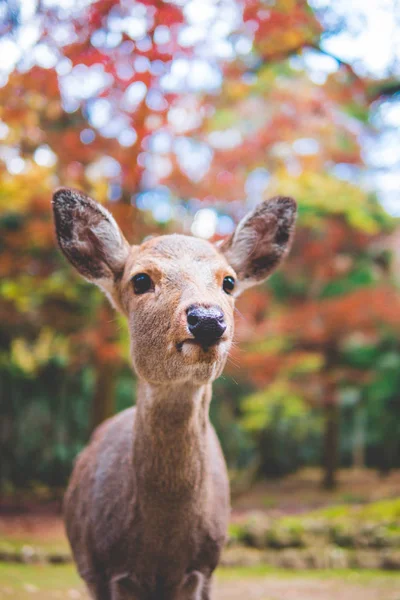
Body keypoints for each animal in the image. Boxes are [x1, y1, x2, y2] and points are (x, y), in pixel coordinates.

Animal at [51, 189, 296, 600]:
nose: (207, 319)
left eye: (229, 282)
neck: (160, 547)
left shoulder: (203, 569)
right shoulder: (109, 570)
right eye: (139, 279)